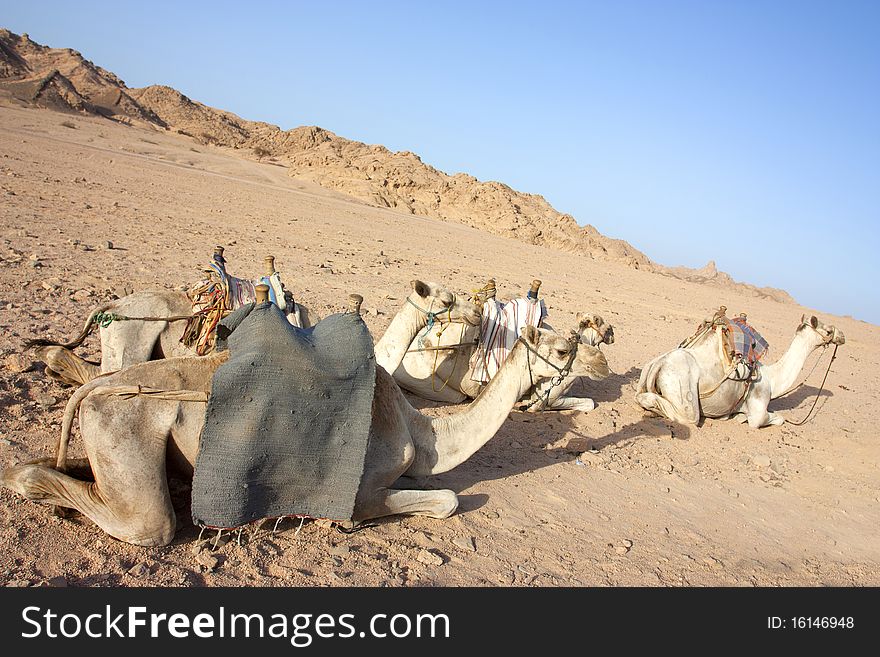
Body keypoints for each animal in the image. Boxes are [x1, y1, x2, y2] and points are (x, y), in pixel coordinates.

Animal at [0, 298, 608, 544]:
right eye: (560, 346)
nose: (595, 360)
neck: (420, 429)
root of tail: (98, 388)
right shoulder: (363, 488)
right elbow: (444, 500)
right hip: (124, 427)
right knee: (149, 525)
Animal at [632, 316, 844, 428]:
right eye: (827, 330)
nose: (841, 335)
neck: (772, 380)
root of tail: (658, 363)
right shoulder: (758, 407)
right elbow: (777, 419)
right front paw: (742, 418)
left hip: (647, 374)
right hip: (683, 389)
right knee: (687, 416)